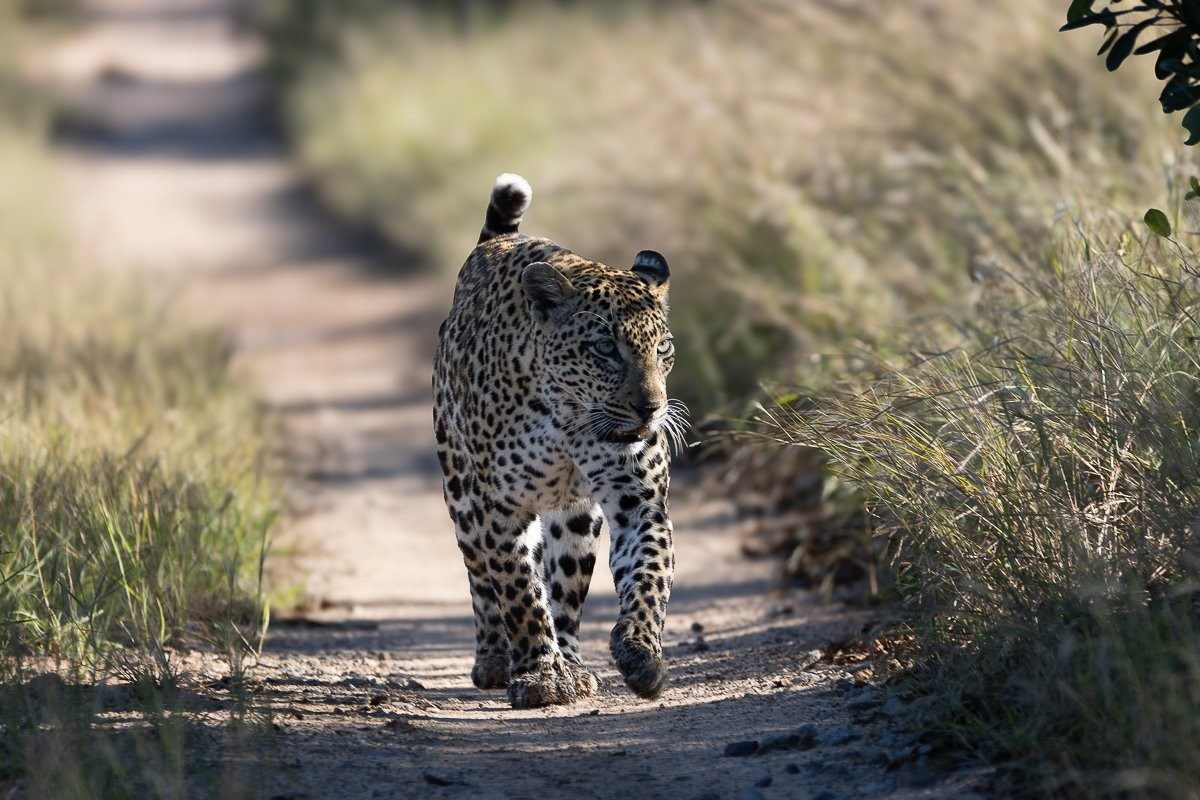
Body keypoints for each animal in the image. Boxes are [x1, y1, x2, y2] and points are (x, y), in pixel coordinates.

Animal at [433, 173, 686, 709]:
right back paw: (497, 661)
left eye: (663, 349)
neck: (570, 423)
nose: (651, 408)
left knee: (566, 591)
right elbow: (519, 592)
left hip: (576, 519)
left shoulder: (640, 500)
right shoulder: (501, 505)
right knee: (482, 580)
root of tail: (493, 243)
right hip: (461, 493)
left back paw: (573, 663)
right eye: (605, 348)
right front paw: (539, 677)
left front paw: (641, 653)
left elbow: (649, 574)